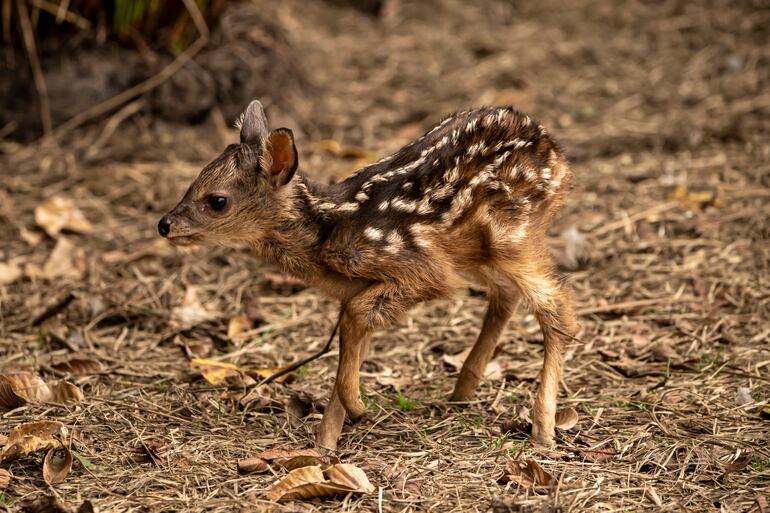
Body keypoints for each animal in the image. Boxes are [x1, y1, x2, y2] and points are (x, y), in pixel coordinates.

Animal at [158, 99, 576, 448]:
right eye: (194, 181)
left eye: (217, 201)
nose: (164, 224)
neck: (328, 231)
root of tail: (557, 153)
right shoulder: (365, 285)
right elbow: (352, 336)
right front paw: (324, 446)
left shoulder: (421, 268)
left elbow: (355, 316)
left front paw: (357, 409)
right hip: (482, 251)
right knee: (508, 295)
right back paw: (462, 392)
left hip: (513, 233)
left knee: (558, 310)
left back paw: (543, 431)